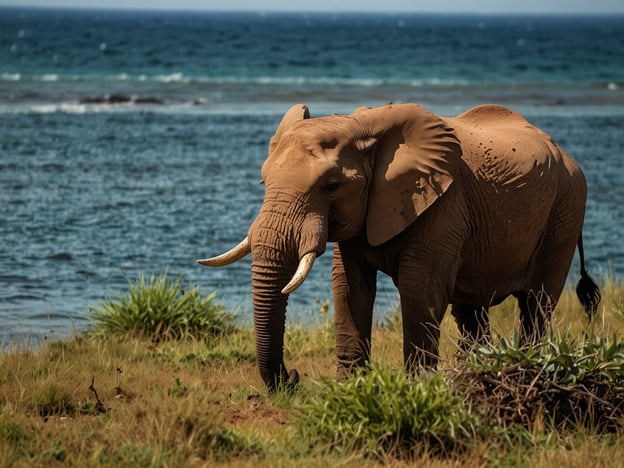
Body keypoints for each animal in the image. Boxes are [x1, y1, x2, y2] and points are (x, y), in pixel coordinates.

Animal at [197, 102, 604, 392]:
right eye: (263, 180)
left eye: (331, 186)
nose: (294, 378)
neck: (359, 127)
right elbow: (349, 286)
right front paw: (350, 390)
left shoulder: (443, 205)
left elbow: (419, 289)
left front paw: (416, 390)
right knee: (471, 312)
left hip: (565, 213)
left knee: (537, 303)